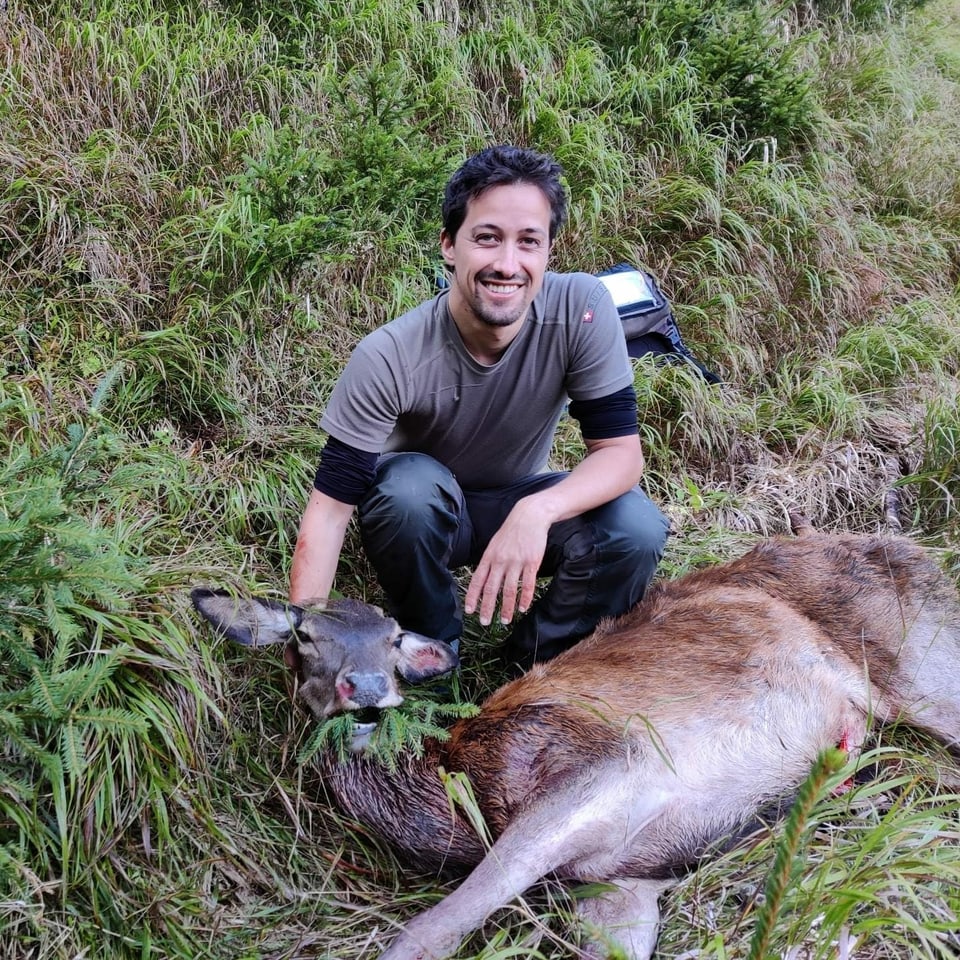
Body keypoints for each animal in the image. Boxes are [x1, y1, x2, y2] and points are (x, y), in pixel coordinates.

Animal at [191, 524, 960, 960]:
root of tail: (923, 553)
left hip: (925, 663)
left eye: (393, 637)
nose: (368, 688)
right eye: (303, 636)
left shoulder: (599, 762)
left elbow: (435, 927)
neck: (457, 792)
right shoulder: (622, 877)